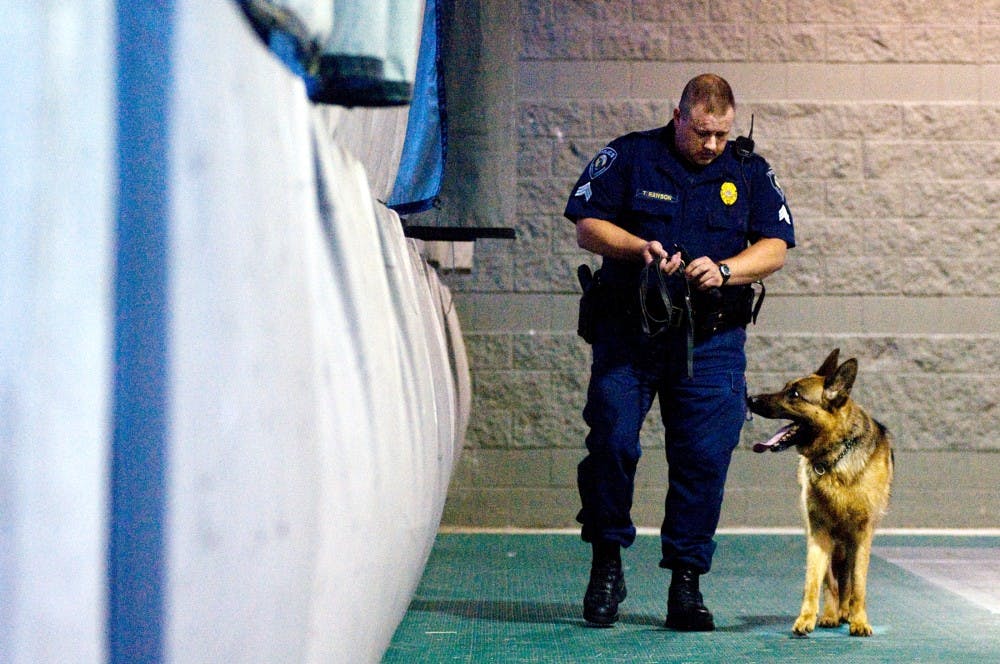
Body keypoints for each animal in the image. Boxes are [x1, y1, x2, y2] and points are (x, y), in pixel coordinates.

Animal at [747, 349, 893, 637]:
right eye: (784, 388)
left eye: (794, 394)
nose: (750, 399)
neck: (835, 458)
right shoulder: (819, 534)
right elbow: (814, 582)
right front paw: (807, 618)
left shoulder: (862, 536)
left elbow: (858, 585)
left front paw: (860, 620)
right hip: (827, 541)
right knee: (832, 582)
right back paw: (830, 614)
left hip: (848, 545)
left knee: (847, 581)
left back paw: (846, 613)